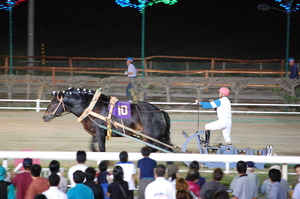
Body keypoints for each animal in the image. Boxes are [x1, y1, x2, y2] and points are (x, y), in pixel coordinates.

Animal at [42, 88, 173, 152]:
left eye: (54, 102)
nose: (44, 116)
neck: (92, 107)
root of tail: (159, 111)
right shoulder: (96, 133)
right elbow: (92, 147)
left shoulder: (100, 132)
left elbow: (101, 148)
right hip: (147, 136)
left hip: (154, 136)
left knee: (165, 148)